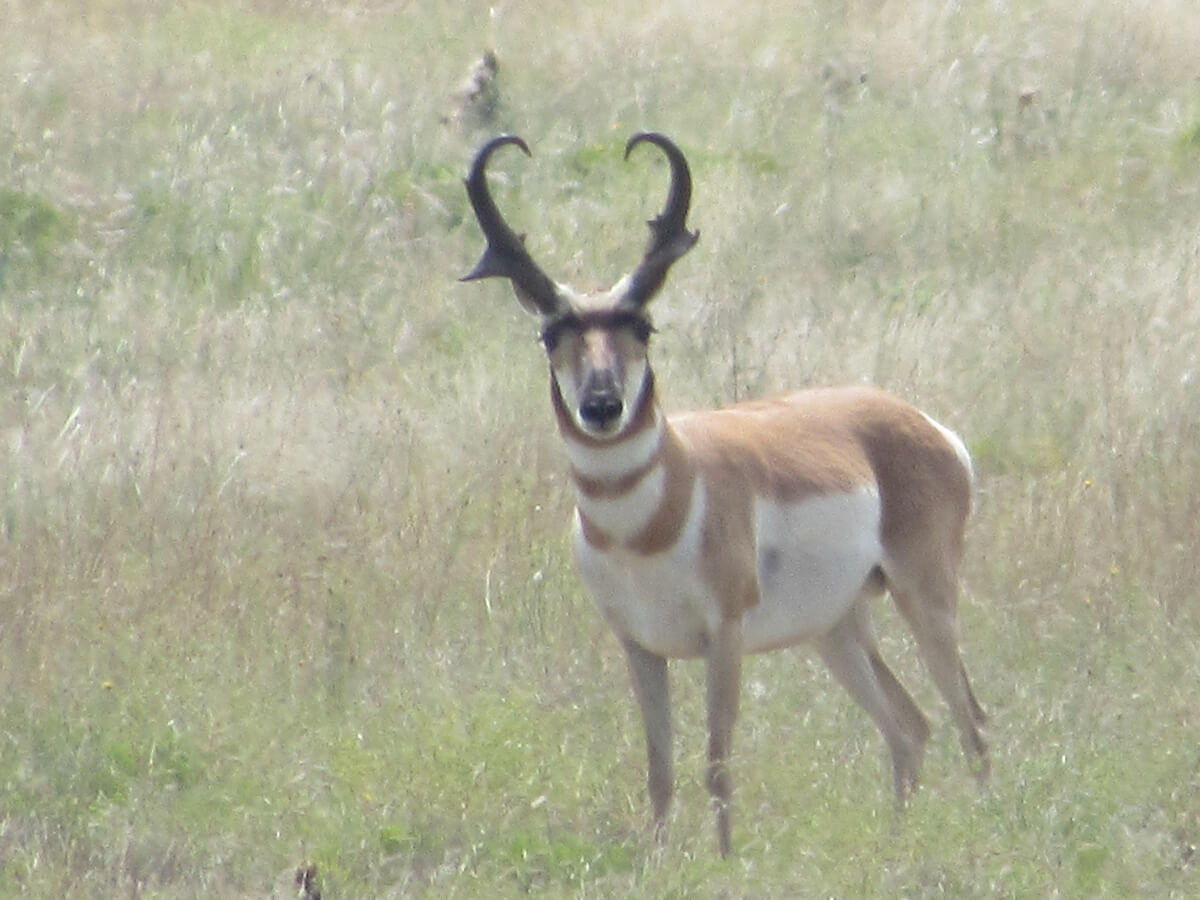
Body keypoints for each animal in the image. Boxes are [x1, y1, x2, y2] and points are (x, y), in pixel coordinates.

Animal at [460, 132, 989, 857]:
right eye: (550, 333)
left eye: (643, 327)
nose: (603, 406)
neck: (647, 522)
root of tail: (926, 425)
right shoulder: (640, 647)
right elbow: (658, 767)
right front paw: (658, 861)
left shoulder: (724, 637)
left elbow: (717, 760)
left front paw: (724, 860)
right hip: (836, 629)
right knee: (910, 726)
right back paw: (895, 848)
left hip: (924, 597)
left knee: (970, 719)